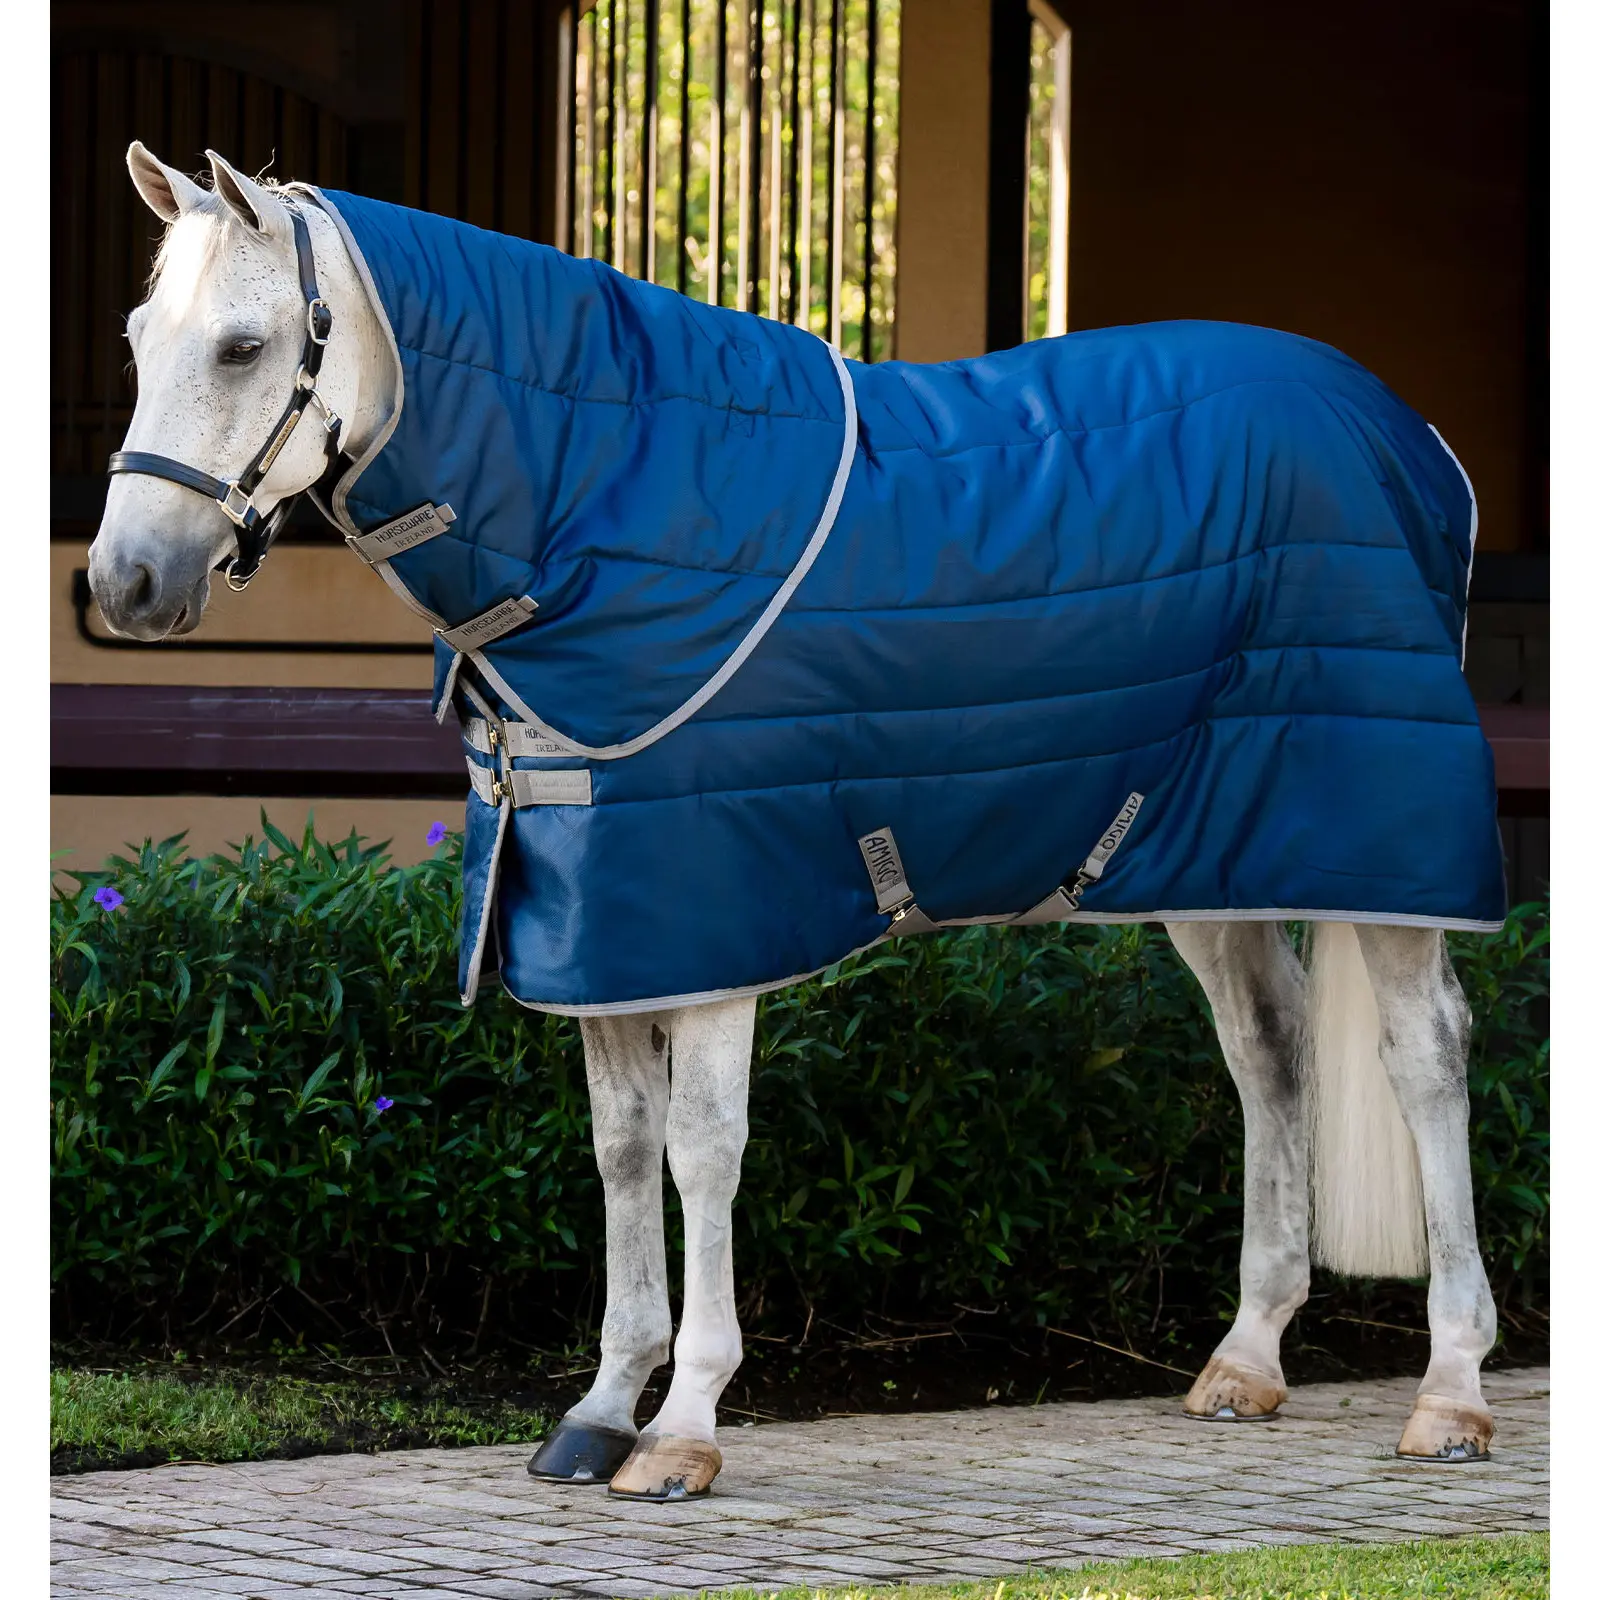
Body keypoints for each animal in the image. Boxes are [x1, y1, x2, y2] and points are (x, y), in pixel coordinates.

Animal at [88, 142, 1504, 1500]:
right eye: (141, 336)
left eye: (243, 346)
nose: (124, 582)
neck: (598, 501)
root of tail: (1415, 436)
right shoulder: (601, 921)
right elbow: (620, 1149)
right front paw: (600, 1409)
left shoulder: (710, 918)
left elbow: (702, 1150)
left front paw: (683, 1429)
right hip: (1204, 850)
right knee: (1268, 1051)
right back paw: (1245, 1359)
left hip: (1377, 842)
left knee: (1425, 1058)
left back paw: (1450, 1393)